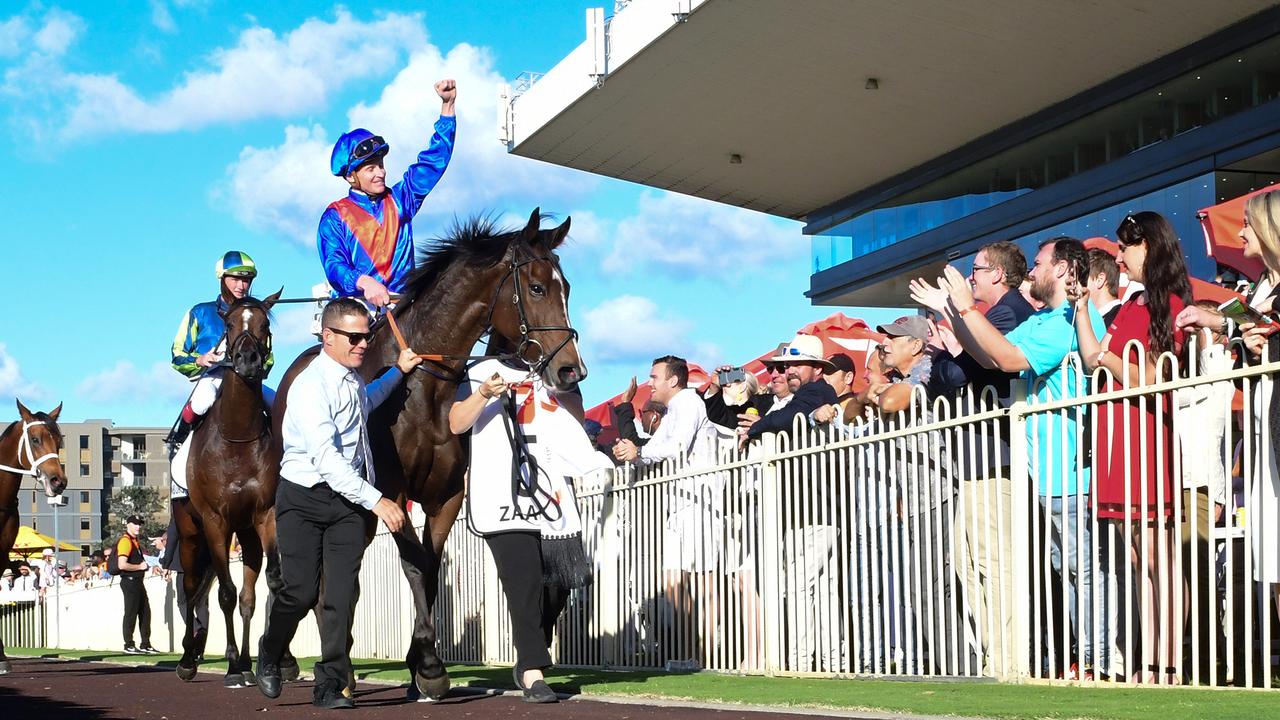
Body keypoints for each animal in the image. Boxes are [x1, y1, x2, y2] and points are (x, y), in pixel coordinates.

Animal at [174, 289, 298, 681]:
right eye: (228, 324)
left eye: (265, 324)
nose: (247, 360)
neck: (238, 438)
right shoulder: (215, 521)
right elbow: (224, 594)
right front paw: (229, 665)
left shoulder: (265, 514)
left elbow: (270, 583)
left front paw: (278, 661)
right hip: (190, 532)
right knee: (192, 588)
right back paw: (190, 659)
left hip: (245, 533)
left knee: (246, 596)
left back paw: (244, 661)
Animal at [277, 207, 586, 696]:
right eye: (537, 287)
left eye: (566, 287)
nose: (571, 369)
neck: (423, 391)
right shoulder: (394, 494)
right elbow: (415, 567)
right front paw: (428, 667)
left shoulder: (446, 496)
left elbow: (432, 567)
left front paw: (419, 663)